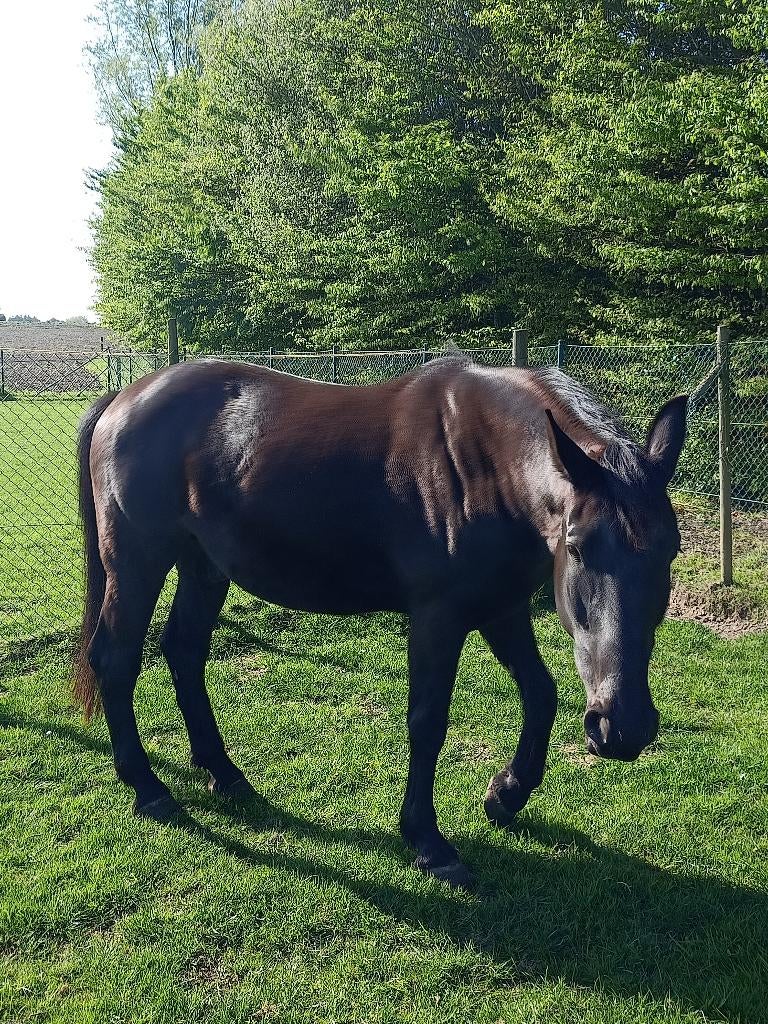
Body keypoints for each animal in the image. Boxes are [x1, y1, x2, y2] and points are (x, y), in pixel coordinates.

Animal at [73, 355, 687, 887]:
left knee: (184, 651)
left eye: (671, 549)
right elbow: (427, 721)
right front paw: (428, 841)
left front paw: (505, 794)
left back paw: (224, 774)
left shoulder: (503, 608)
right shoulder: (439, 617)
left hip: (202, 565)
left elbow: (541, 693)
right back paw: (149, 787)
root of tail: (124, 398)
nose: (624, 727)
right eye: (578, 547)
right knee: (117, 660)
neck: (484, 462)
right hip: (138, 558)